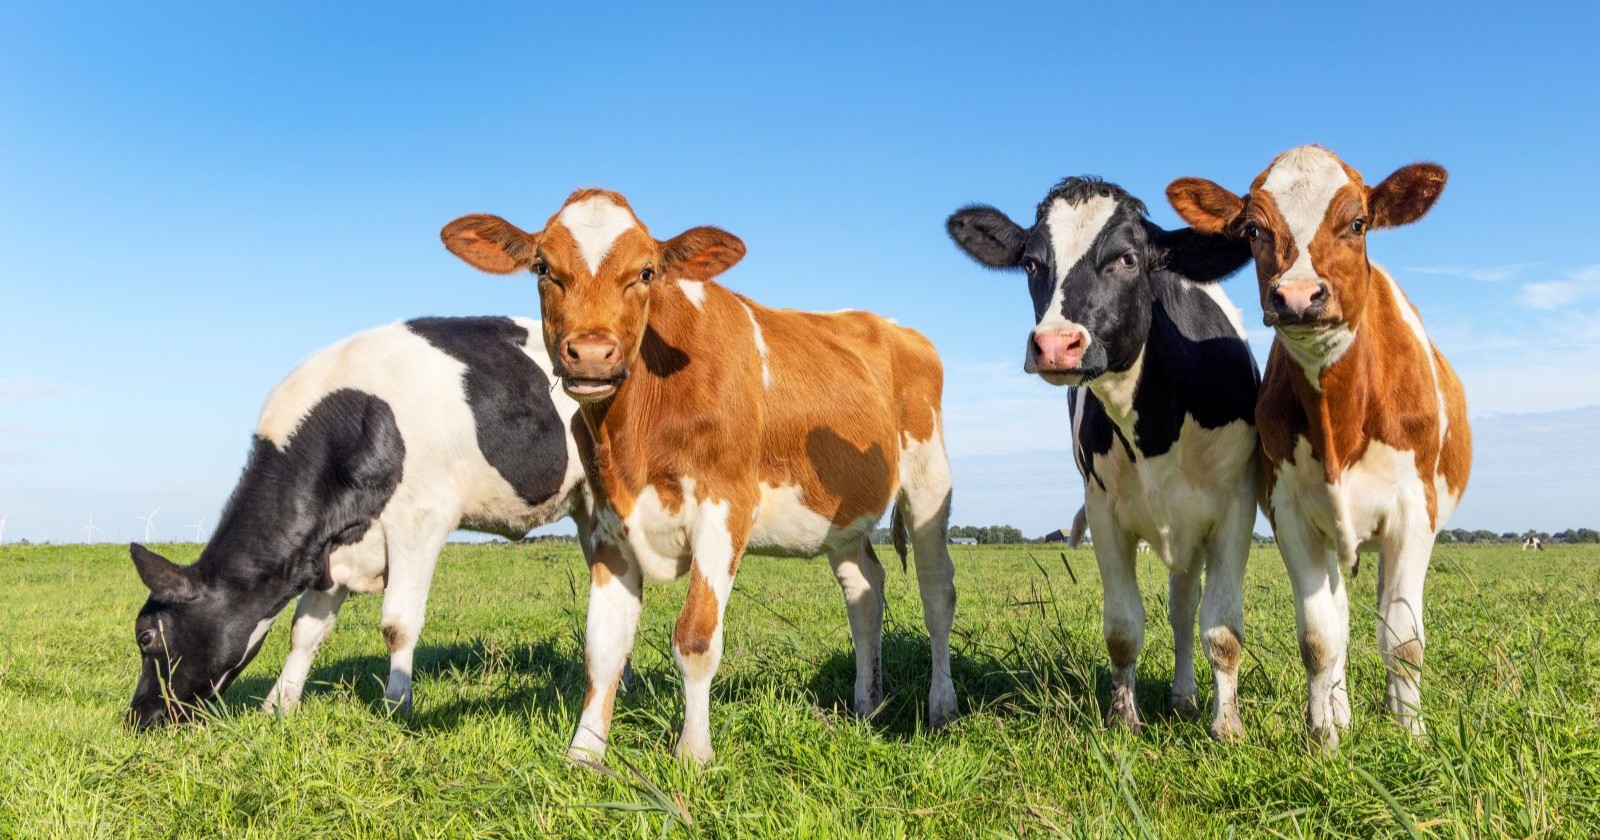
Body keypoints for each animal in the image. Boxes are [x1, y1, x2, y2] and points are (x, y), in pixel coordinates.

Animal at [128, 317, 587, 729]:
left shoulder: (419, 519)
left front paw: (396, 706)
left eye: (146, 637)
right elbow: (304, 630)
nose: (136, 718)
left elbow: (397, 624)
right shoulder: (327, 546)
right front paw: (278, 707)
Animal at [440, 189, 957, 764]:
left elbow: (695, 638)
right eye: (542, 267)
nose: (592, 354)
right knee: (864, 590)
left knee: (937, 592)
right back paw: (867, 707)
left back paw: (941, 708)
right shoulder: (608, 522)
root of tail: (890, 324)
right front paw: (584, 756)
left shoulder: (724, 508)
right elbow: (603, 647)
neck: (636, 434)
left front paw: (693, 754)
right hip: (839, 514)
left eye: (646, 271)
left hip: (928, 479)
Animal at [947, 177, 1259, 741]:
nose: (1055, 345)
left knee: (1187, 611)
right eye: (1032, 263)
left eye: (1127, 259)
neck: (1157, 425)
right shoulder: (1104, 513)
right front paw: (1124, 718)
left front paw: (1227, 729)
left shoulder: (1234, 508)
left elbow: (1222, 630)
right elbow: (1122, 628)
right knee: (1180, 610)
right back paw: (1182, 698)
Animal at [1168, 145, 1472, 748]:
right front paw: (1326, 735)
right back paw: (1343, 712)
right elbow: (1321, 636)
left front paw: (1411, 735)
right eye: (1254, 230)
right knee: (1344, 620)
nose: (1298, 296)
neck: (1342, 421)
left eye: (1358, 224)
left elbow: (1403, 639)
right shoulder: (1292, 513)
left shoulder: (1414, 512)